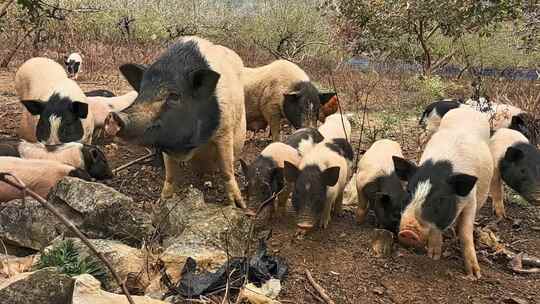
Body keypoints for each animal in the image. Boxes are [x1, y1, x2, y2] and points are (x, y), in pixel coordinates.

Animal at [105, 35, 247, 207]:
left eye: (174, 96)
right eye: (141, 92)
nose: (115, 116)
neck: (187, 147)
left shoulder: (225, 131)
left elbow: (226, 169)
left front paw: (239, 206)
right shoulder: (165, 139)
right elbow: (170, 173)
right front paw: (162, 200)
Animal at [392, 107, 494, 278]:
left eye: (439, 199)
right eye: (408, 191)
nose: (407, 232)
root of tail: (467, 108)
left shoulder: (471, 200)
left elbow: (465, 233)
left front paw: (474, 274)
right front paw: (433, 256)